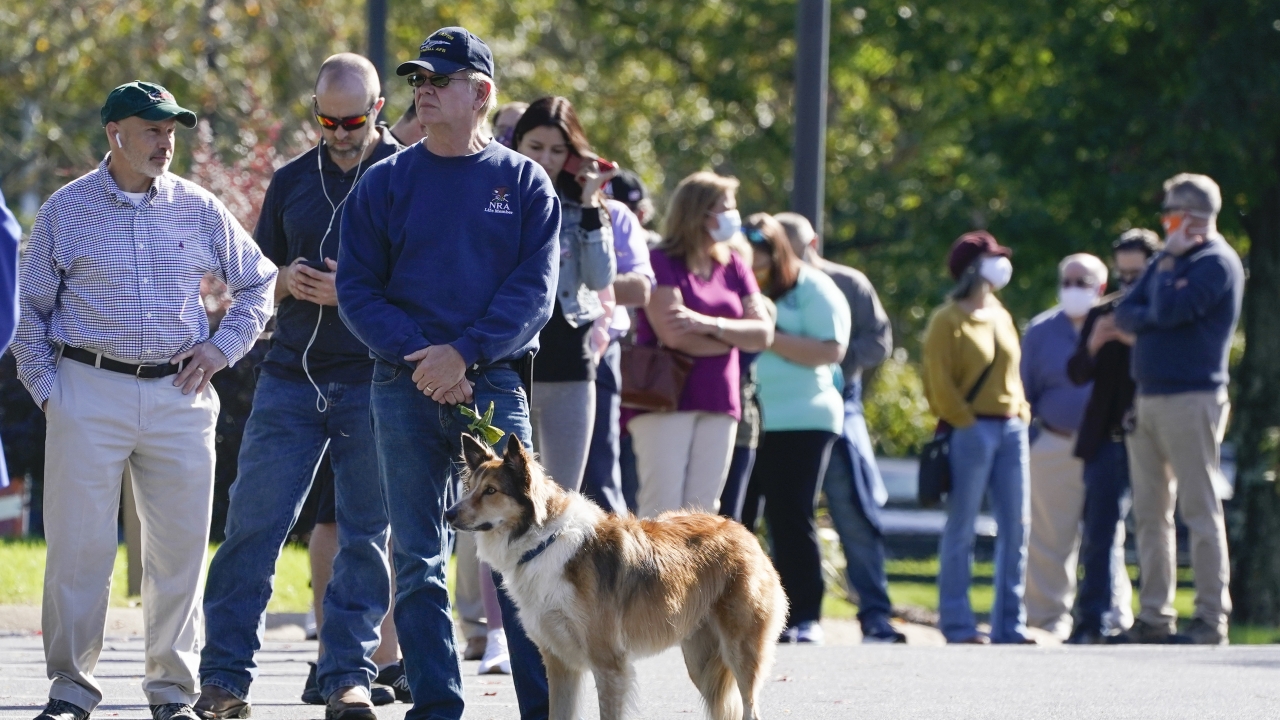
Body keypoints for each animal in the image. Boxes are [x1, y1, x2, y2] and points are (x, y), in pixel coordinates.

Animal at [450, 430, 788, 717]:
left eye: (491, 491)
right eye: (470, 489)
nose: (448, 513)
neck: (543, 541)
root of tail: (743, 531)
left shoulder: (608, 663)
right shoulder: (560, 663)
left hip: (739, 651)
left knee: (750, 708)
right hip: (700, 660)